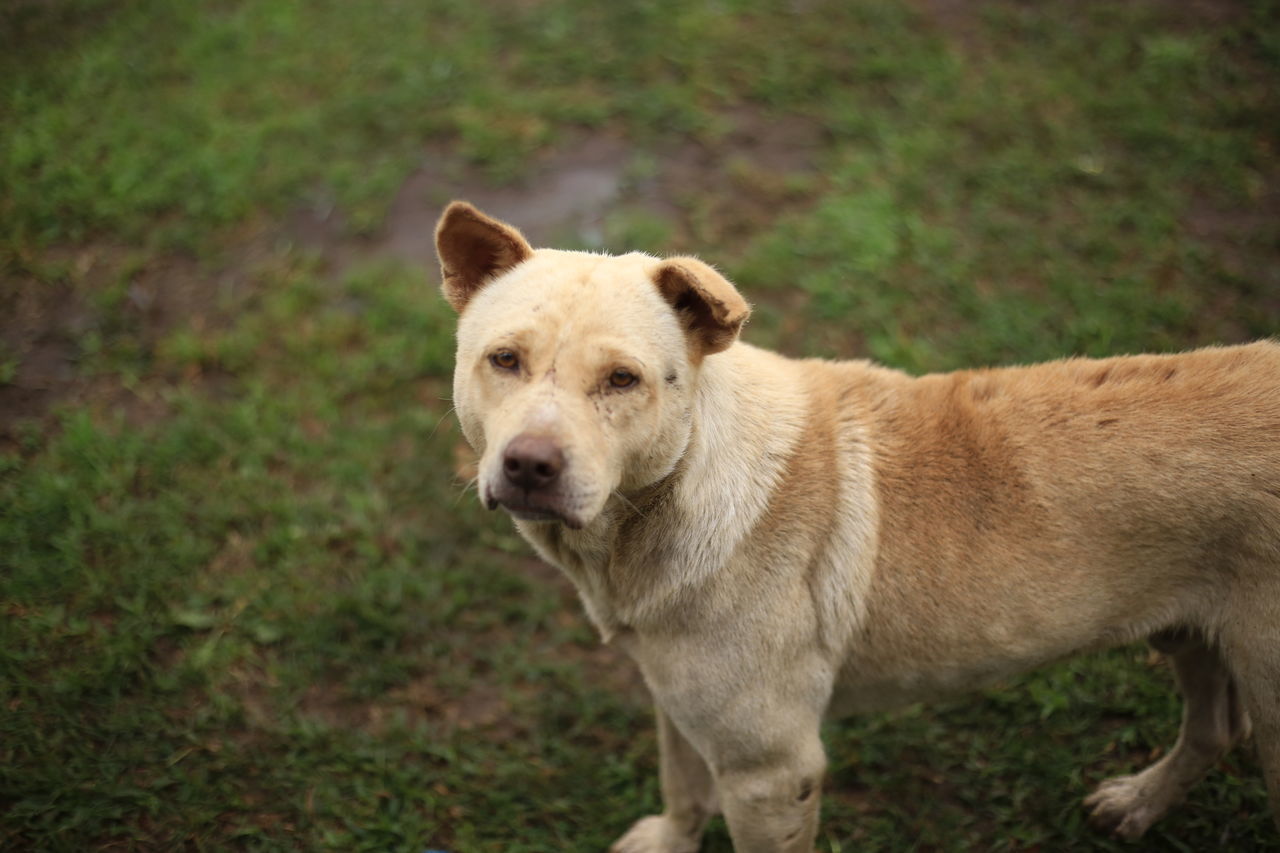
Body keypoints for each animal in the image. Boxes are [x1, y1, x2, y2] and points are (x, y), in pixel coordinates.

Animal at [437, 201, 1280, 850]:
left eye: (622, 380)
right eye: (504, 360)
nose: (530, 465)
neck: (680, 483)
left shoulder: (774, 770)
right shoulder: (681, 703)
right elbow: (681, 788)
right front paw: (669, 839)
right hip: (1190, 634)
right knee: (1215, 727)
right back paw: (1138, 802)